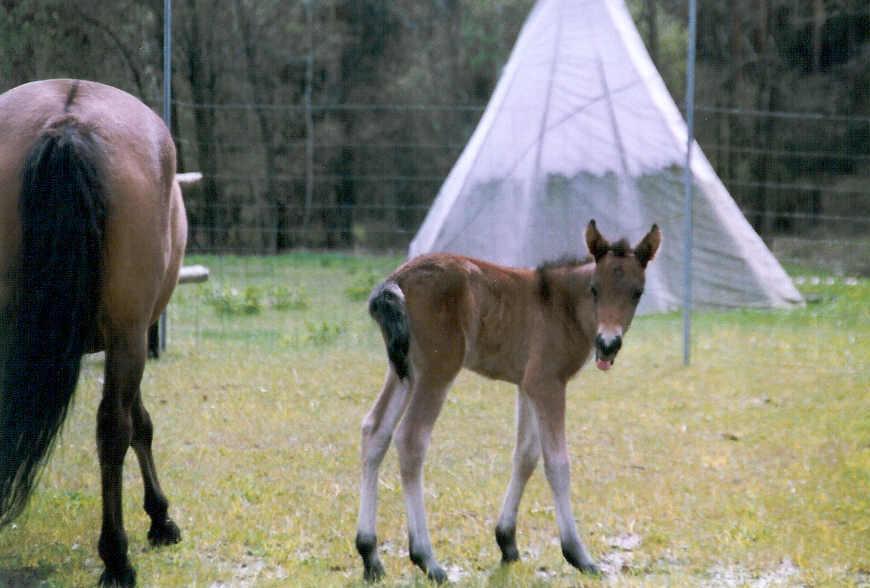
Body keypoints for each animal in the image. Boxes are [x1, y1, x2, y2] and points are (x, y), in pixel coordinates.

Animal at [354, 220, 660, 584]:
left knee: (375, 430)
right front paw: (578, 555)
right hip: (437, 370)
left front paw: (507, 542)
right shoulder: (547, 383)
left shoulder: (526, 386)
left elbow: (525, 456)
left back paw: (370, 555)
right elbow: (557, 464)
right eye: (595, 289)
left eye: (637, 292)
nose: (608, 344)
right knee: (411, 438)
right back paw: (427, 559)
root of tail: (395, 280)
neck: (562, 306)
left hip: (403, 371)